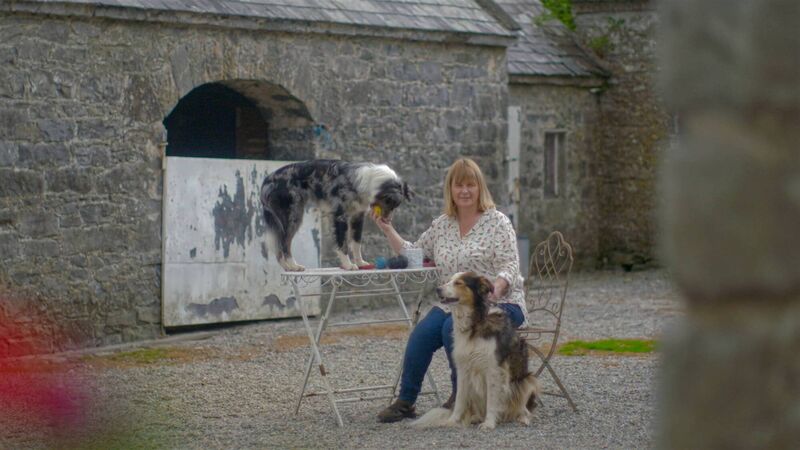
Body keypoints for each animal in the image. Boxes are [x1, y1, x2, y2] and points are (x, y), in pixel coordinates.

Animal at [260, 160, 412, 271]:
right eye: (390, 204)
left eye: (395, 206)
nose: (387, 220)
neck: (369, 182)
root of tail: (267, 180)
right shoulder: (340, 216)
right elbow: (343, 244)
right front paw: (348, 265)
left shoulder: (358, 217)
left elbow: (356, 243)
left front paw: (361, 263)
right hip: (293, 216)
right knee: (284, 243)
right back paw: (293, 266)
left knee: (279, 246)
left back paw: (287, 267)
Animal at [412, 272, 539, 430]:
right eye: (449, 280)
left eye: (459, 283)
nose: (438, 289)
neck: (475, 323)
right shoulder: (463, 369)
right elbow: (460, 400)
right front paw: (452, 421)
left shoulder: (494, 370)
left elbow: (492, 400)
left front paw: (489, 423)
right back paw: (476, 417)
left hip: (527, 381)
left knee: (523, 408)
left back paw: (523, 418)